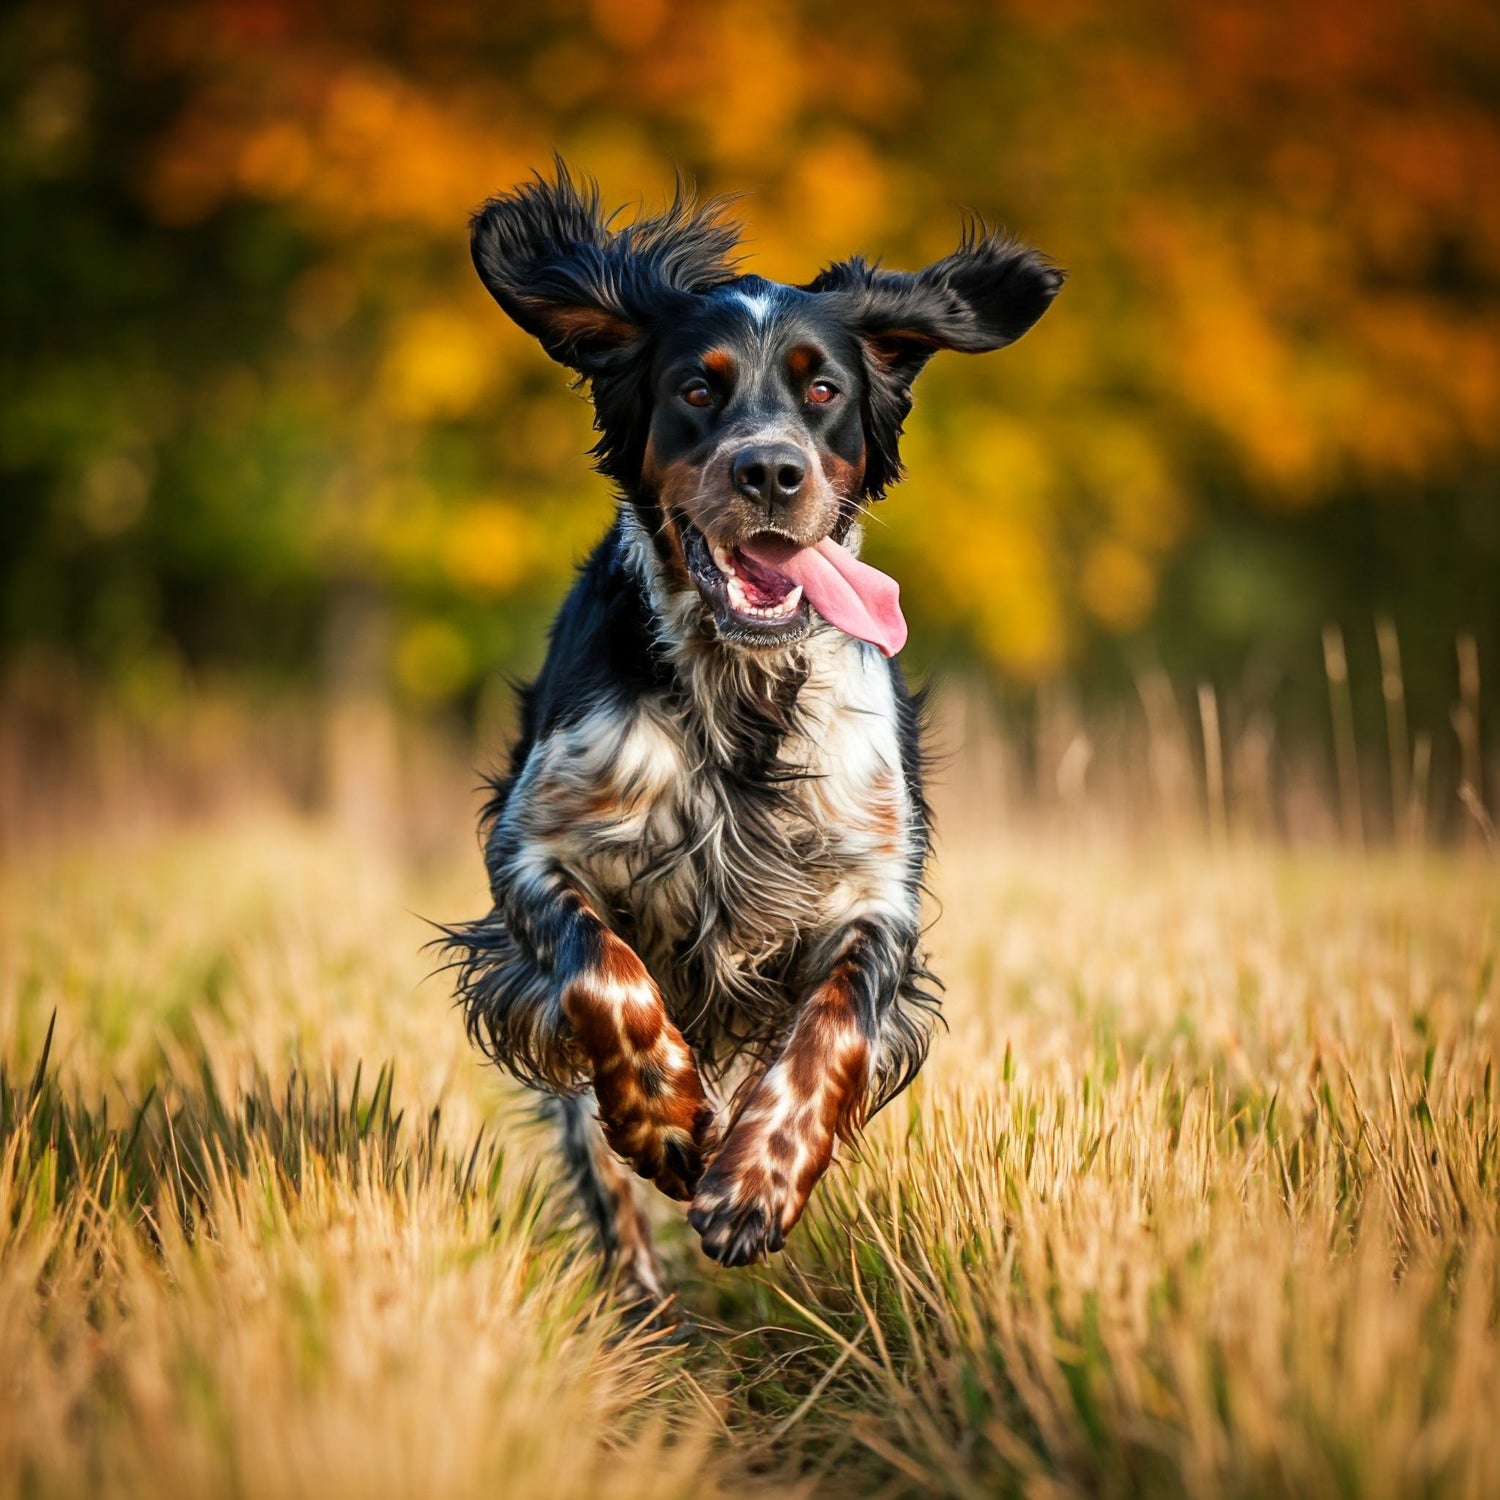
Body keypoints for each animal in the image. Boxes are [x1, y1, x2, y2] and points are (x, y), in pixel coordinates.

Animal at [438, 155, 1062, 1302]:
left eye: (823, 391)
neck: (745, 696)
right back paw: (644, 1295)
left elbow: (834, 1030)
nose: (770, 471)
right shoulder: (532, 851)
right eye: (696, 388)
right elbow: (604, 974)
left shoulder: (873, 891)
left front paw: (758, 1179)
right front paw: (669, 1119)